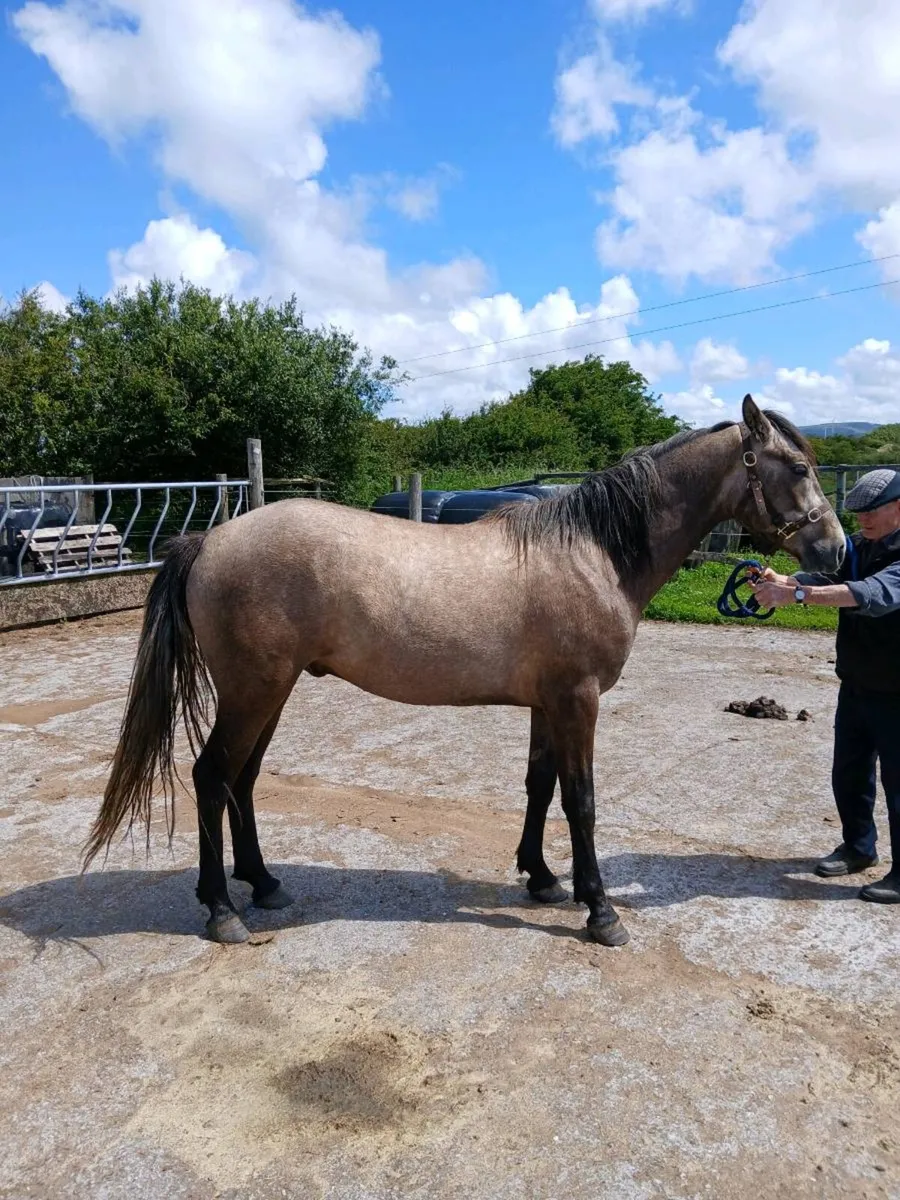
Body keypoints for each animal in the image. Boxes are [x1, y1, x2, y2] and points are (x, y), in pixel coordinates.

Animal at [83, 395, 846, 948]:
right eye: (795, 465)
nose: (835, 551)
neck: (592, 552)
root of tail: (209, 540)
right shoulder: (579, 701)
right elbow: (582, 801)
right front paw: (600, 911)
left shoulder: (549, 703)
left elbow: (540, 786)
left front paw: (542, 878)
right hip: (253, 690)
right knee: (212, 777)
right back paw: (222, 911)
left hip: (271, 691)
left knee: (241, 779)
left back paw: (264, 884)